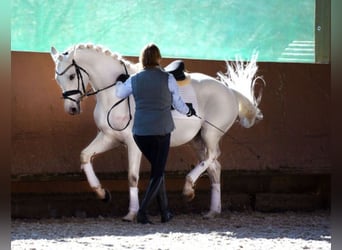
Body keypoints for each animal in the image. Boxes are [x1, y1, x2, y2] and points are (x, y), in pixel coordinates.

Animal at [50, 43, 264, 221]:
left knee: (212, 157)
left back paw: (188, 189)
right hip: (197, 139)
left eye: (71, 76)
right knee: (214, 167)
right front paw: (102, 193)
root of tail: (230, 92)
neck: (115, 94)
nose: (72, 109)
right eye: (57, 78)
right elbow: (85, 155)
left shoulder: (133, 143)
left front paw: (132, 213)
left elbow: (132, 176)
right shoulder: (109, 137)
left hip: (210, 134)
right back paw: (212, 210)